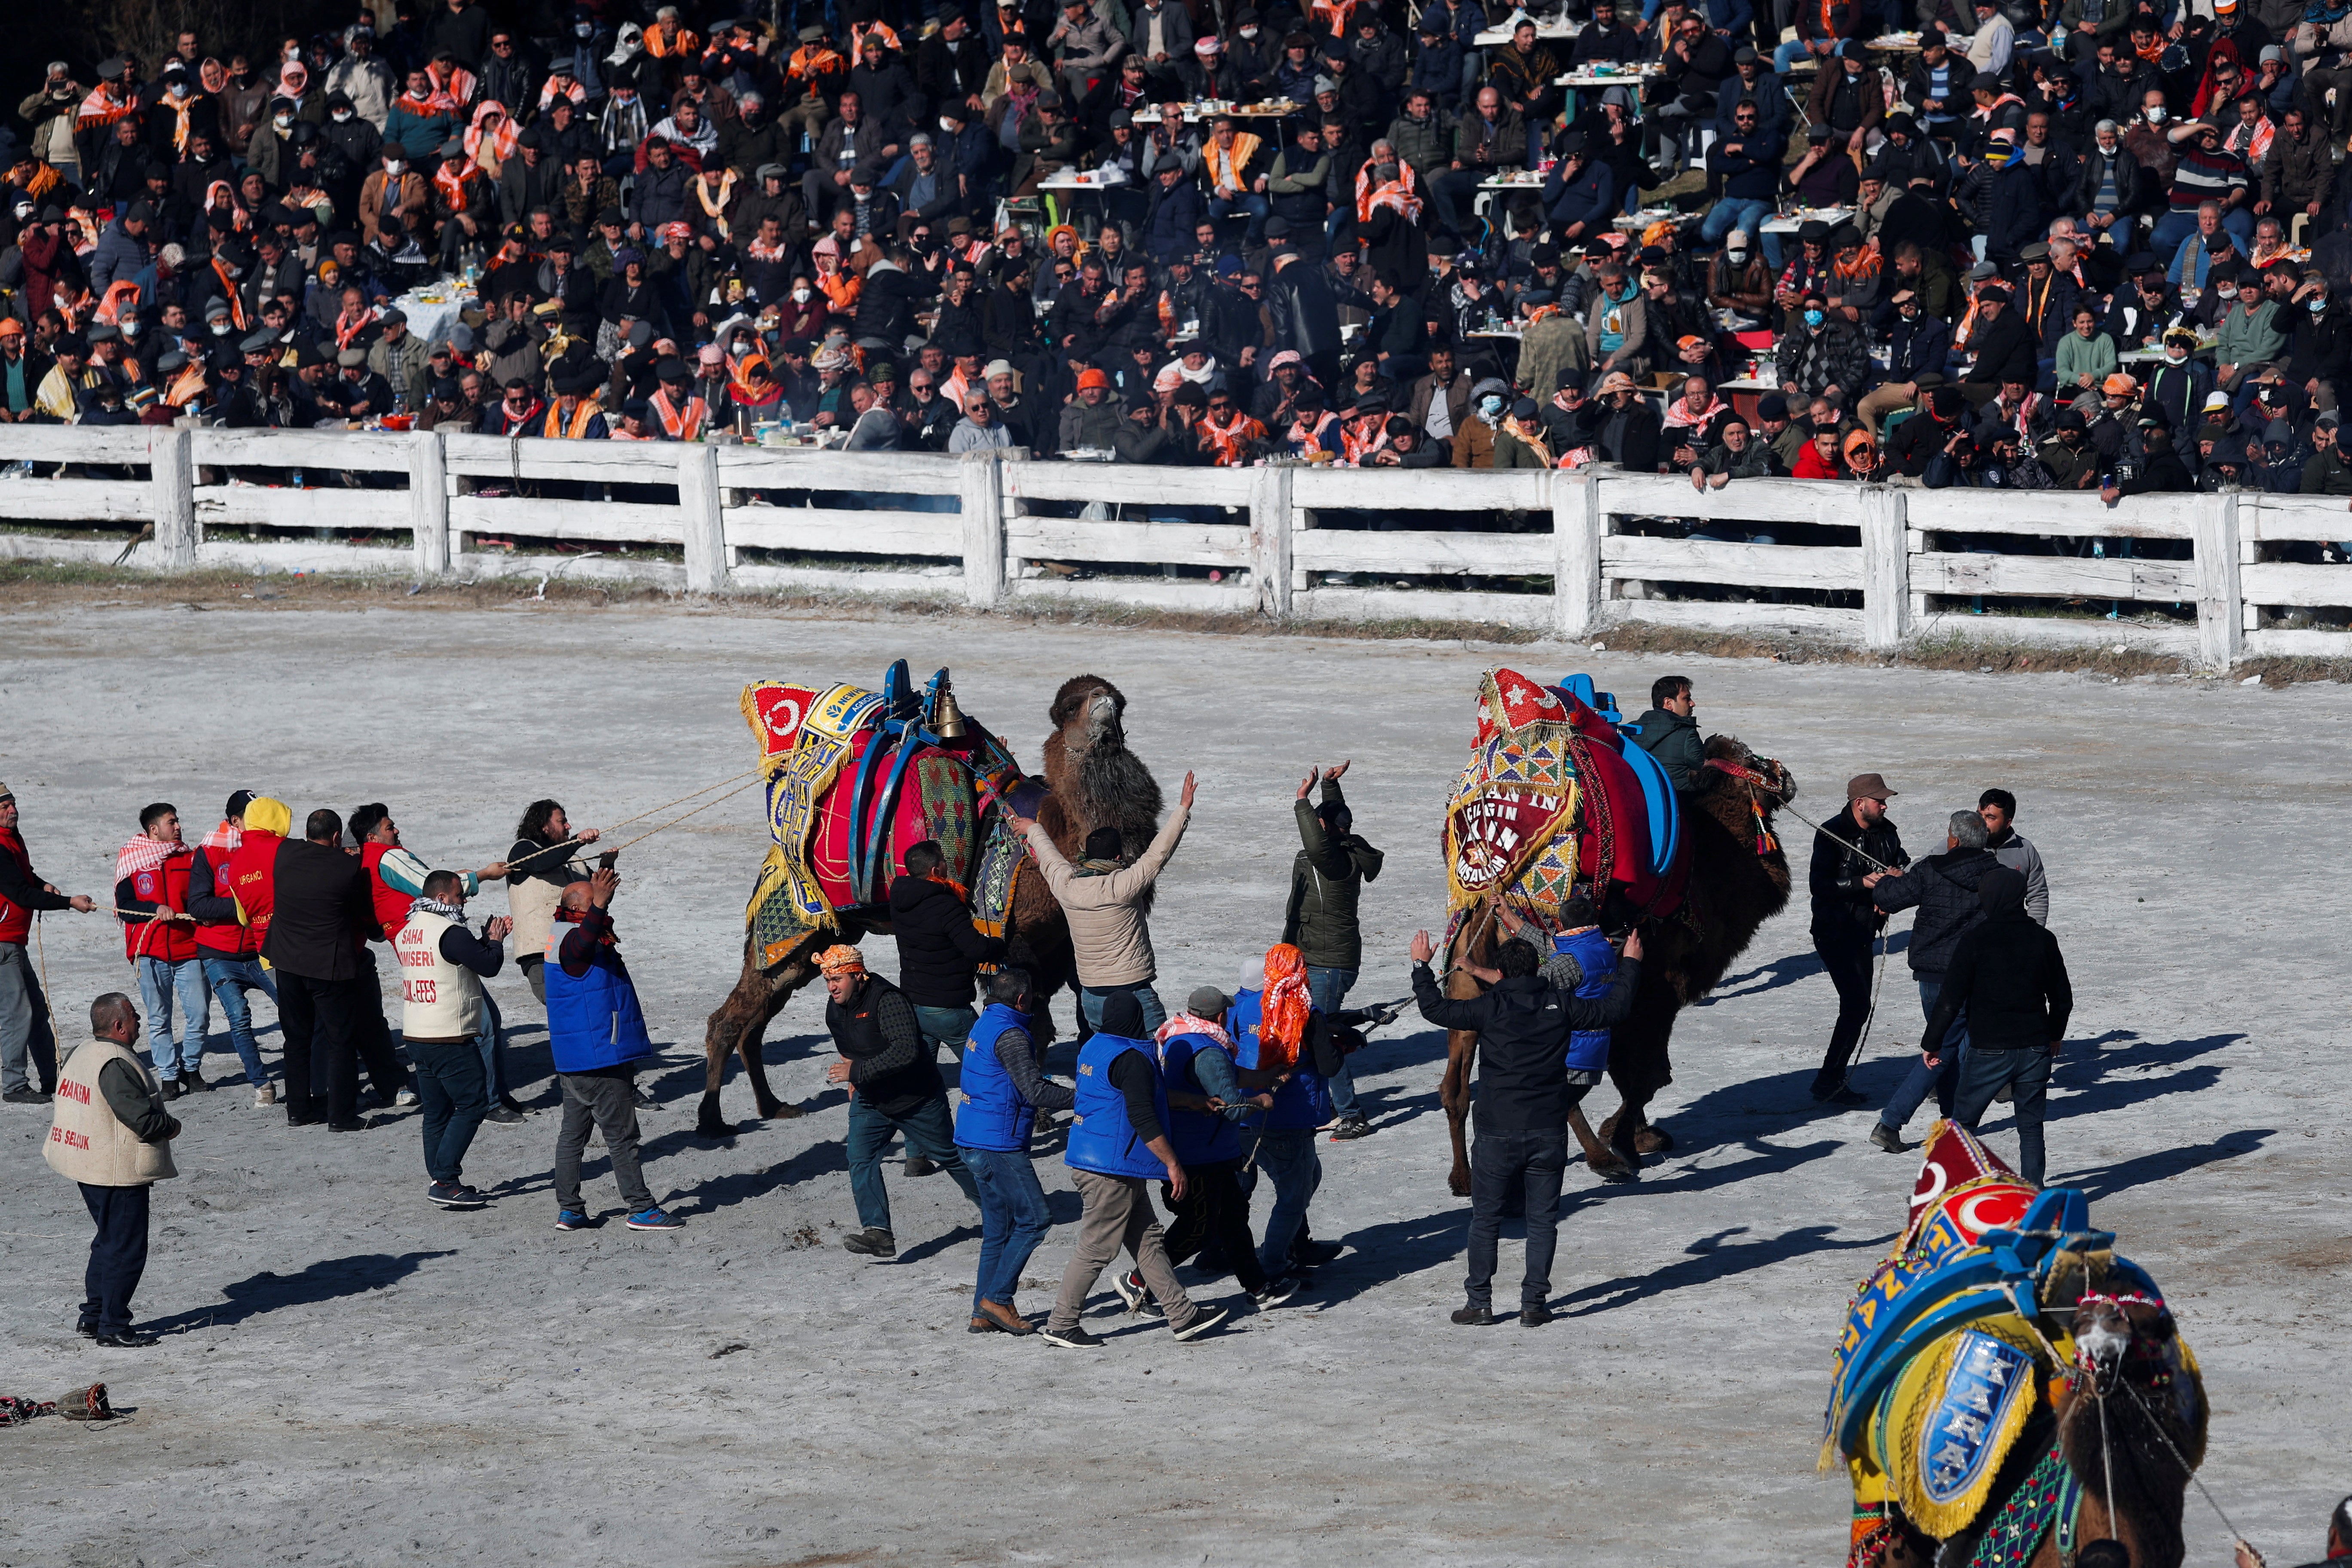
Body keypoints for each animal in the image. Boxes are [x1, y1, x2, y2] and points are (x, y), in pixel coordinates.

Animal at [691, 677, 1162, 1142]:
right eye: (1070, 707)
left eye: (1119, 701)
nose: (1104, 703)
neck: (1057, 840)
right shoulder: (1012, 940)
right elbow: (1031, 1025)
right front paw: (1041, 1119)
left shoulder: (1065, 944)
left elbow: (1079, 1023)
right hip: (789, 924)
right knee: (731, 1018)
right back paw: (714, 1121)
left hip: (814, 941)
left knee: (755, 1017)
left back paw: (773, 1107)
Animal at [1430, 738, 1797, 1189]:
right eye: (1751, 759)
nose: (1787, 778)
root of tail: (1486, 917)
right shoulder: (1657, 991)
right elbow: (1647, 1072)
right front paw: (1627, 1140)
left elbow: (1640, 1072)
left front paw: (1640, 1136)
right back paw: (1603, 1159)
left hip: (1467, 995)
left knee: (1455, 1090)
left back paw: (1463, 1178)